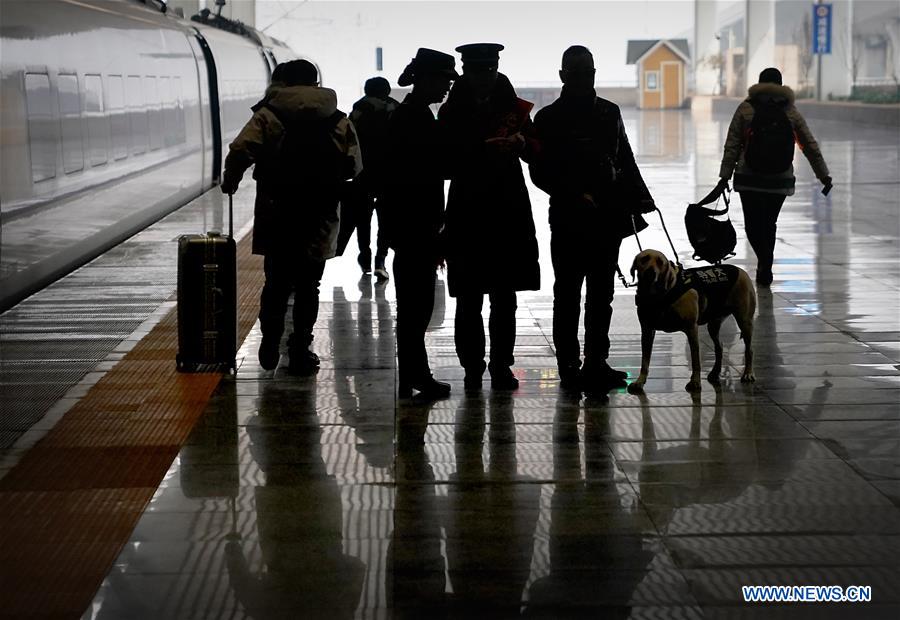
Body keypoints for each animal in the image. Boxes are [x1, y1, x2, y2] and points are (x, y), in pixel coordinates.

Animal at [624, 247, 760, 392]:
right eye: (644, 259)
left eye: (661, 262)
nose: (650, 273)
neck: (660, 295)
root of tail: (740, 270)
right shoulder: (647, 331)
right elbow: (644, 361)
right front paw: (640, 381)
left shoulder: (691, 329)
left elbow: (696, 360)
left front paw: (695, 381)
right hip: (713, 324)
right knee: (719, 346)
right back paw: (715, 372)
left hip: (745, 321)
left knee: (749, 349)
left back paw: (748, 373)